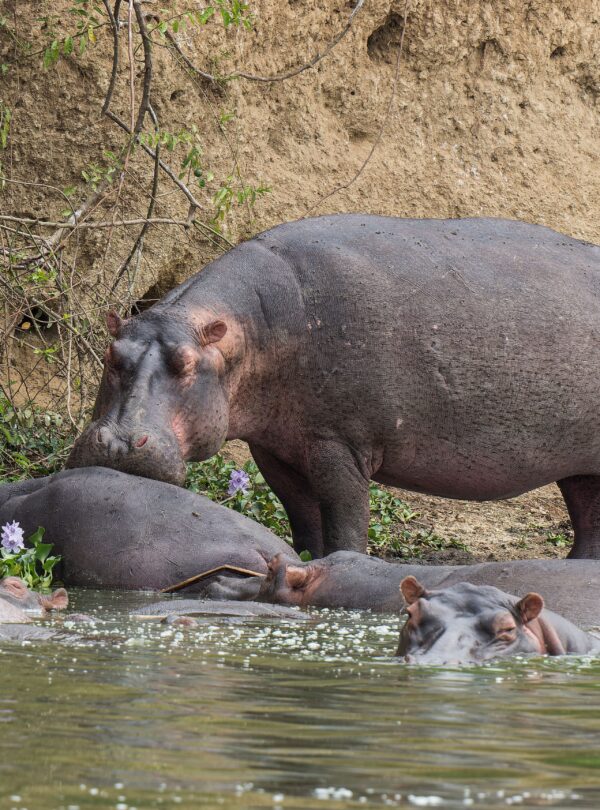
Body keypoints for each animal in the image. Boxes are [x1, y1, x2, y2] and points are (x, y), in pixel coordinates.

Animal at [66, 215, 600, 559]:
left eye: (185, 364)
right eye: (112, 356)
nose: (117, 443)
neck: (249, 333)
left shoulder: (338, 441)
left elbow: (345, 518)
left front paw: (345, 563)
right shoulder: (274, 448)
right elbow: (303, 517)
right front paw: (307, 561)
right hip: (580, 467)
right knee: (588, 523)